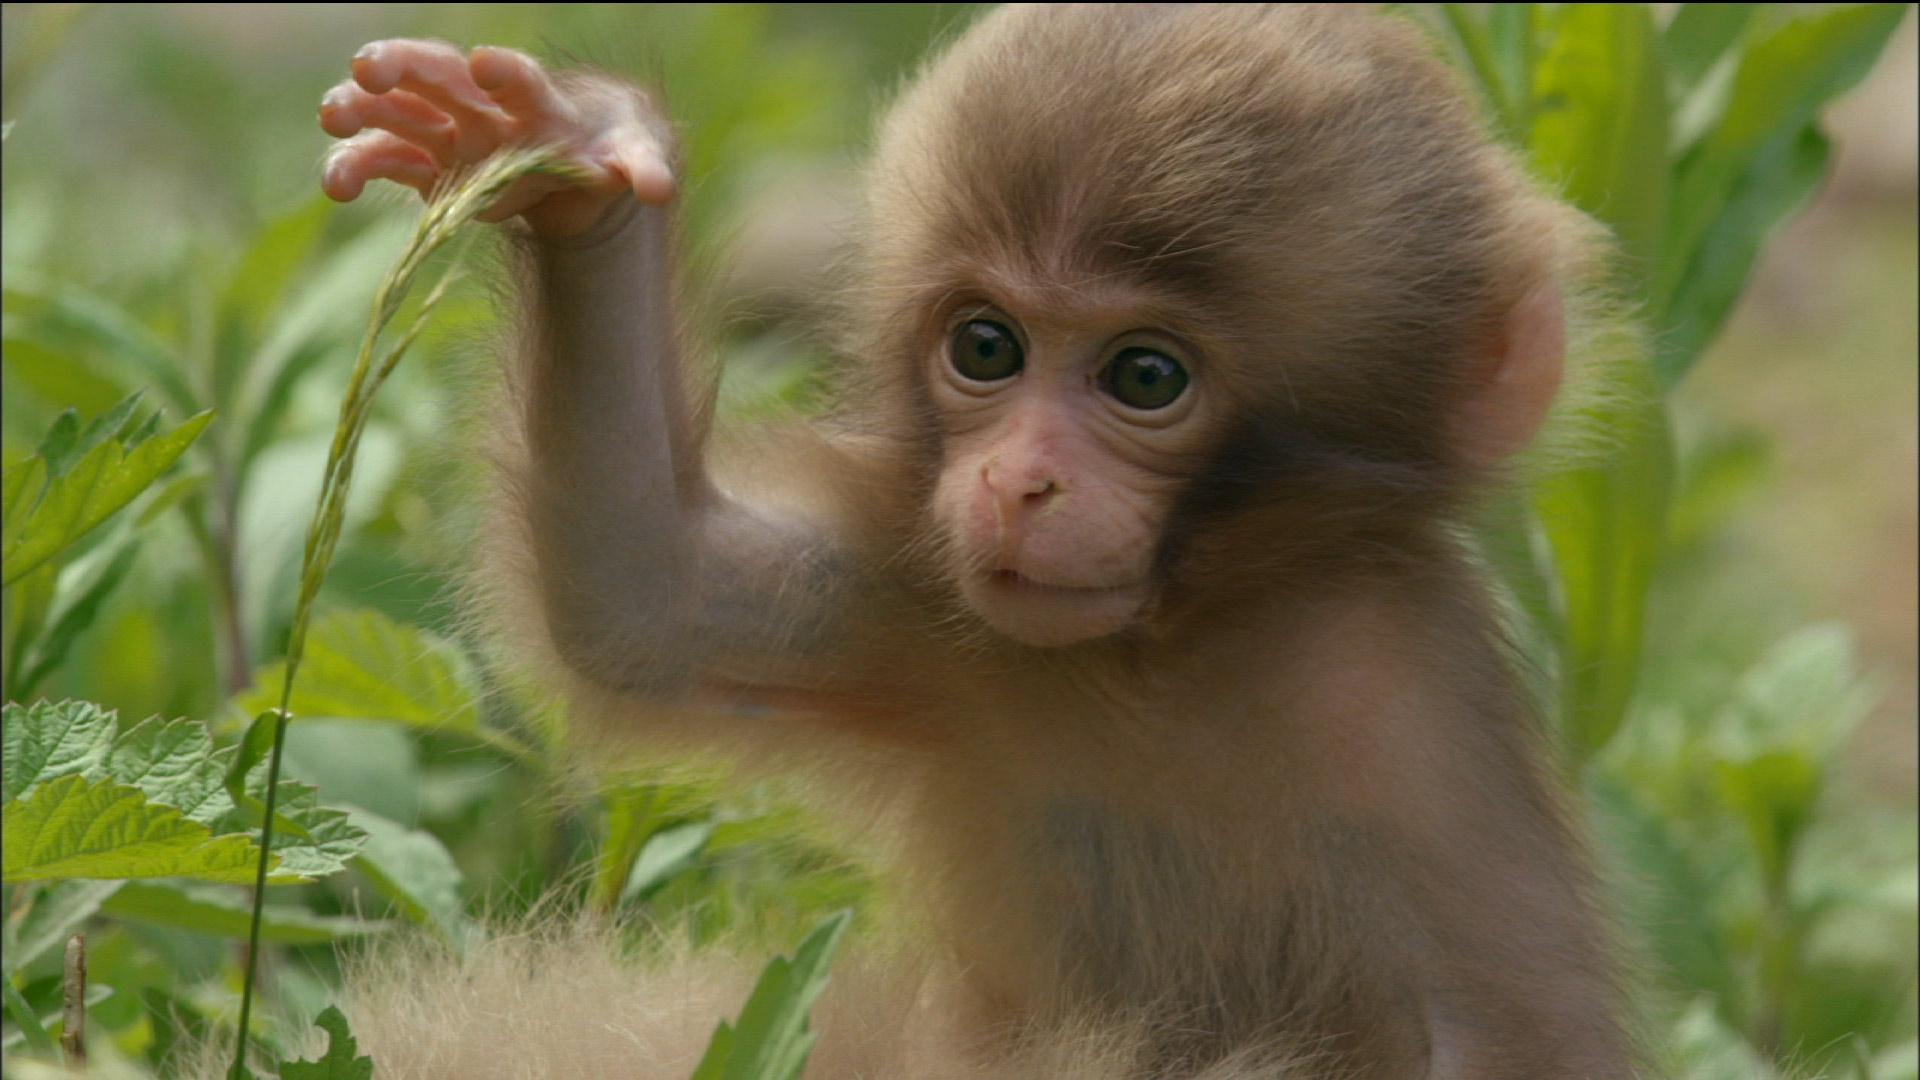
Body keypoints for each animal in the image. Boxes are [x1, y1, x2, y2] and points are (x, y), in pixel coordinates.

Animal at [318, 4, 1635, 1068]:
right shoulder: (932, 594)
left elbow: (1503, 1041)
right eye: (987, 347)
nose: (1018, 483)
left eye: (1145, 376)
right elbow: (642, 597)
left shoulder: (1402, 717)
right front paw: (574, 161)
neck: (1166, 652)